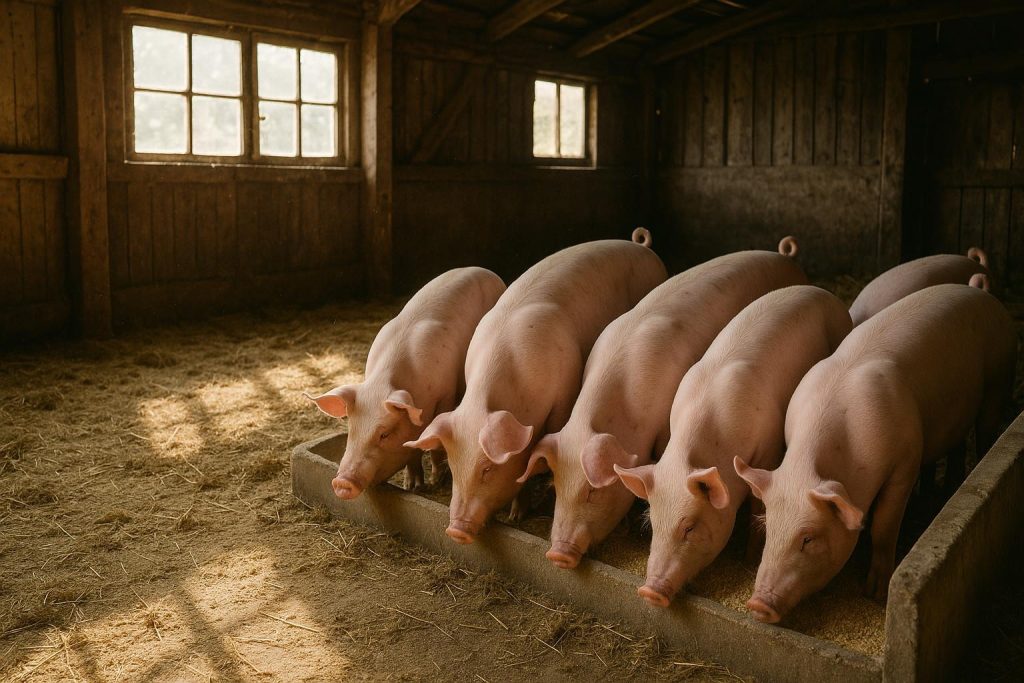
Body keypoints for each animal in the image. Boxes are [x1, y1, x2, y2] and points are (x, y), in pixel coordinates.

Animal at [305, 267, 506, 499]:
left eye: (384, 434)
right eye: (351, 429)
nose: (341, 482)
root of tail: (485, 270)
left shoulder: (445, 394)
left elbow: (435, 445)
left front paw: (435, 483)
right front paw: (412, 486)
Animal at [404, 229, 667, 544]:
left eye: (487, 468)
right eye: (455, 469)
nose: (455, 530)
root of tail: (642, 246)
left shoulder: (563, 399)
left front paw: (517, 515)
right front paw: (514, 516)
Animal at [614, 286, 852, 607]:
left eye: (689, 527)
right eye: (652, 524)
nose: (648, 591)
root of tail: (820, 290)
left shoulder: (768, 448)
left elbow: (757, 505)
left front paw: (749, 557)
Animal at [735, 283, 1016, 623]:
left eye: (808, 538)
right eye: (768, 529)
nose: (757, 604)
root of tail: (979, 292)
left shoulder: (904, 463)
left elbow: (884, 526)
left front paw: (874, 593)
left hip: (999, 374)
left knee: (987, 427)